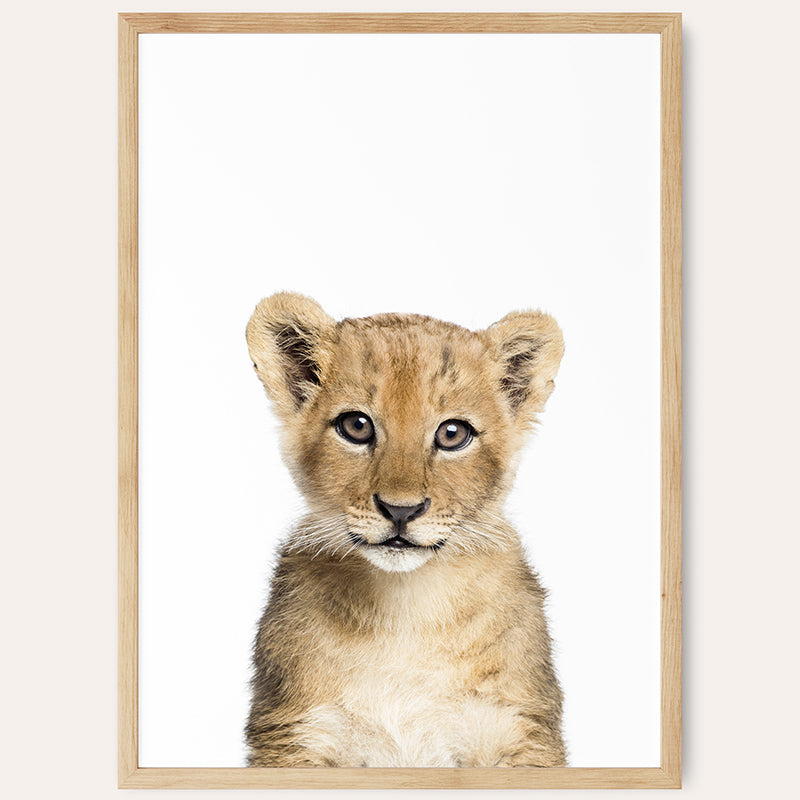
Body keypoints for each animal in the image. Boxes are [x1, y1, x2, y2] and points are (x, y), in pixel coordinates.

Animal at [244, 292, 566, 768]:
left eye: (453, 433)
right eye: (356, 426)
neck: (405, 609)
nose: (401, 510)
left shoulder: (518, 730)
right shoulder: (296, 733)